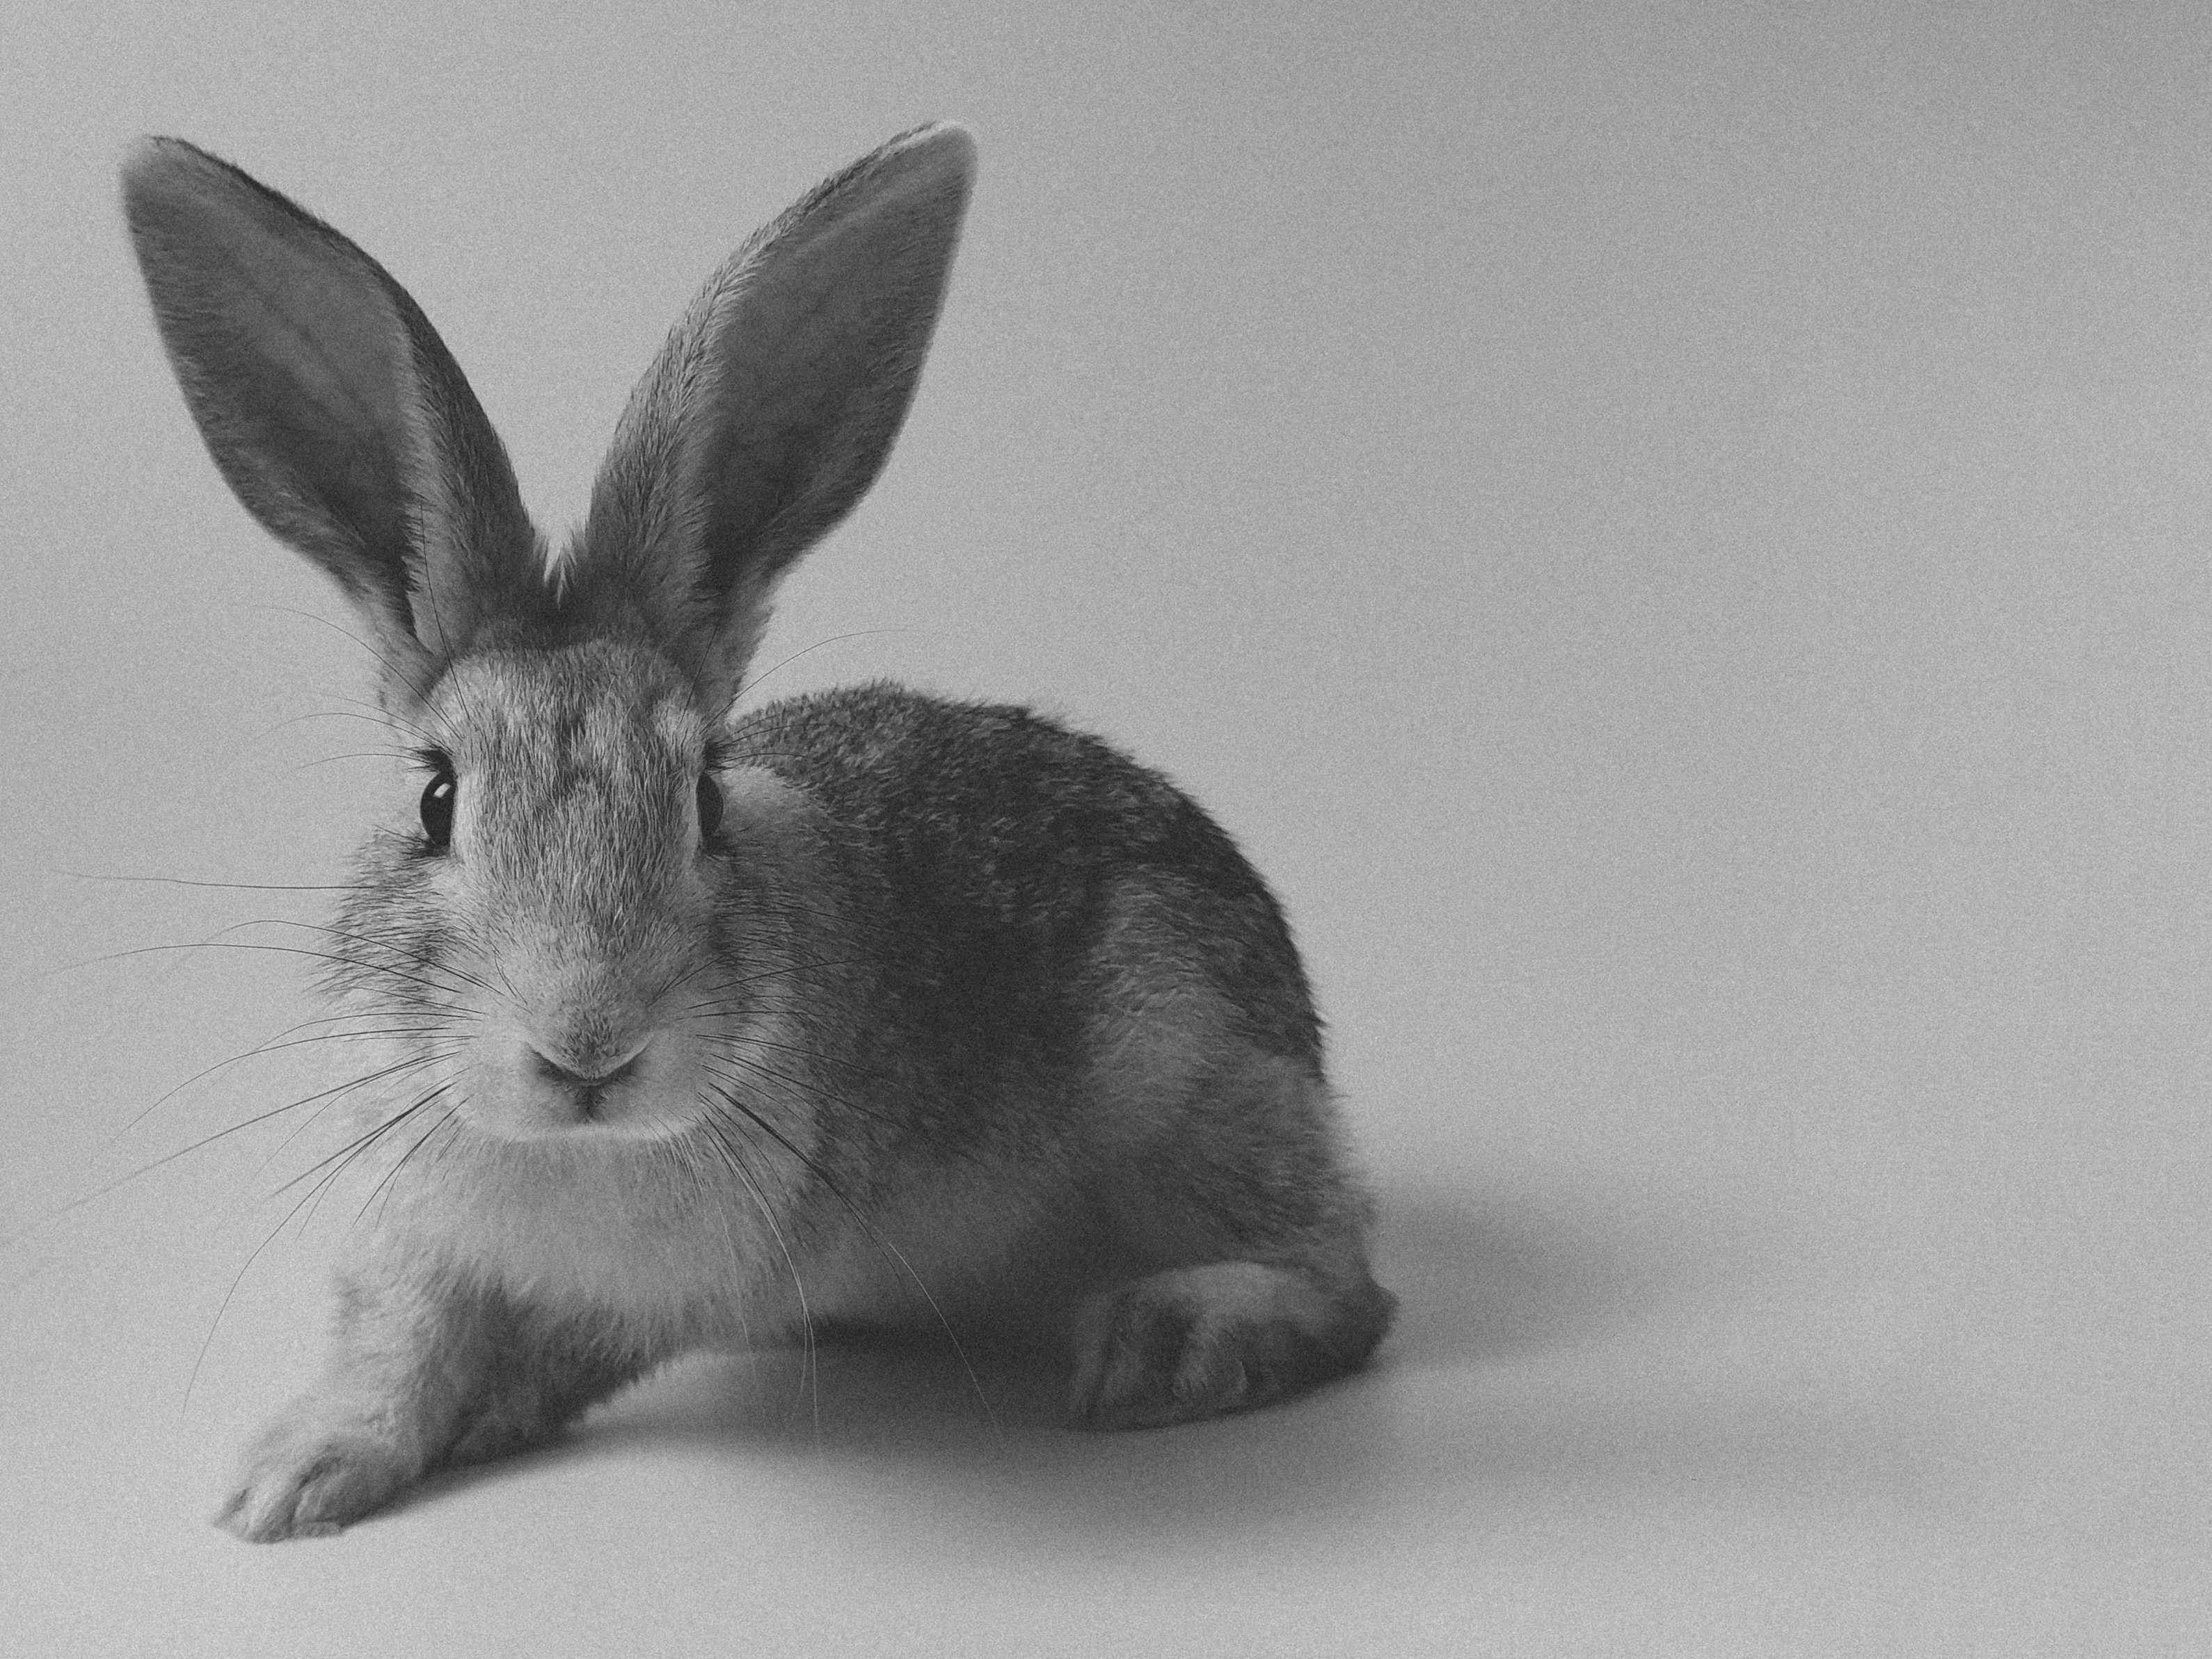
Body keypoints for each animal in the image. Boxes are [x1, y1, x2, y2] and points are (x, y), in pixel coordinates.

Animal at [122, 123, 1395, 1543]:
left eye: (705, 798)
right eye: (436, 800)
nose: (585, 1044)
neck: (575, 1154)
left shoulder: (672, 1284)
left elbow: (532, 1346)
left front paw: (408, 1438)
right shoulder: (417, 1246)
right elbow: (398, 1346)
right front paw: (290, 1476)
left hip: (1184, 1071)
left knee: (1349, 1288)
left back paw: (1165, 1342)